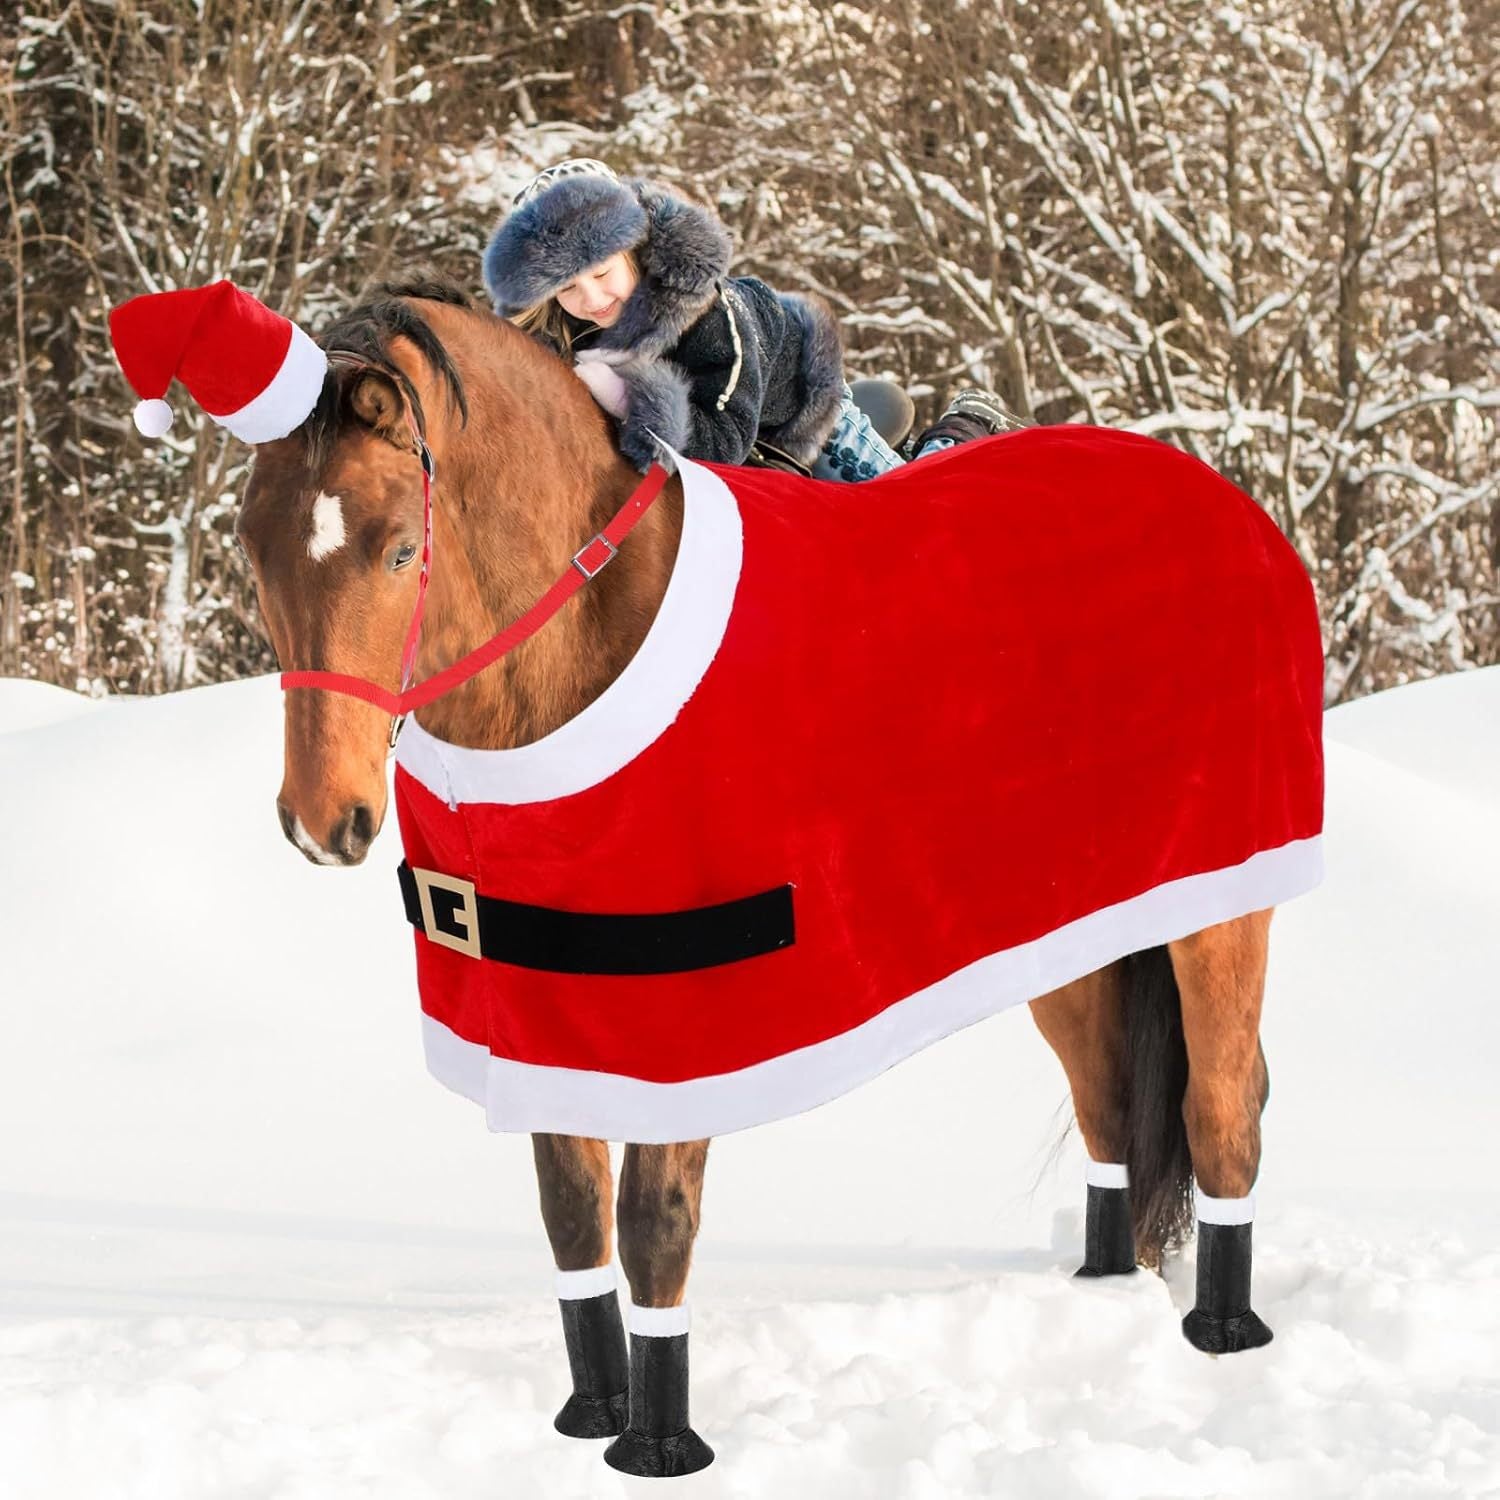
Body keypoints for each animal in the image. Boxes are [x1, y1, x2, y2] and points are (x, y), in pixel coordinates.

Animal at [235, 278, 1322, 1478]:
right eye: (254, 549)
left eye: (395, 551)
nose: (322, 822)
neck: (579, 649)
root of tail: (1227, 506)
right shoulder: (545, 1003)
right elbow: (572, 1213)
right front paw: (589, 1415)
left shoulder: (681, 1017)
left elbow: (653, 1223)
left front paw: (659, 1445)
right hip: (1069, 929)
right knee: (1111, 1105)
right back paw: (1098, 1290)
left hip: (1223, 906)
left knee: (1223, 1108)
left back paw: (1222, 1333)